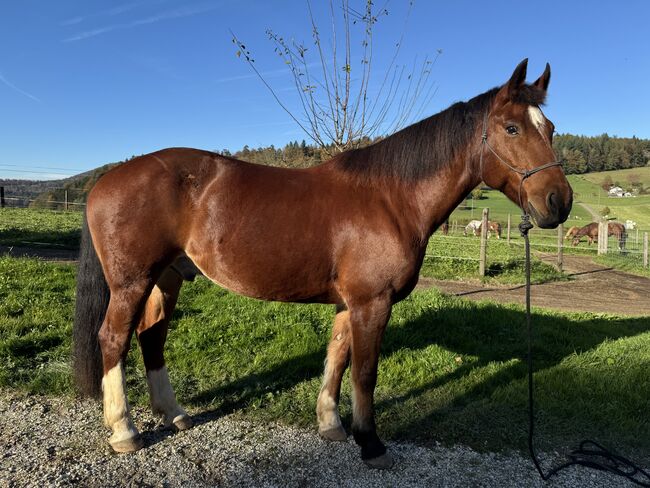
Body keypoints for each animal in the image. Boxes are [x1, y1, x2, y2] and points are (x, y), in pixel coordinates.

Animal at [69, 59, 568, 468]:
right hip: (133, 282)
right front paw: (371, 444)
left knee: (151, 338)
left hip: (167, 278)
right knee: (113, 339)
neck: (390, 197)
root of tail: (105, 179)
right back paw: (124, 431)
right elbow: (364, 372)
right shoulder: (372, 302)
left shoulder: (351, 303)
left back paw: (173, 415)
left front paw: (331, 426)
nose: (558, 201)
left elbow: (337, 358)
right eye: (511, 129)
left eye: (550, 127)